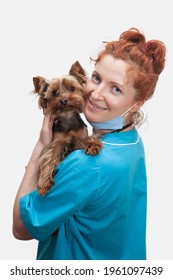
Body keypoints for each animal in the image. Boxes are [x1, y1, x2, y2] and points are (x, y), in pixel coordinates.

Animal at [33, 61, 102, 196]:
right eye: (55, 93)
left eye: (72, 89)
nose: (64, 100)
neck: (67, 117)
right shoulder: (57, 142)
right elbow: (50, 157)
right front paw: (44, 184)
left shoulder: (81, 135)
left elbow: (86, 139)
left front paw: (92, 146)